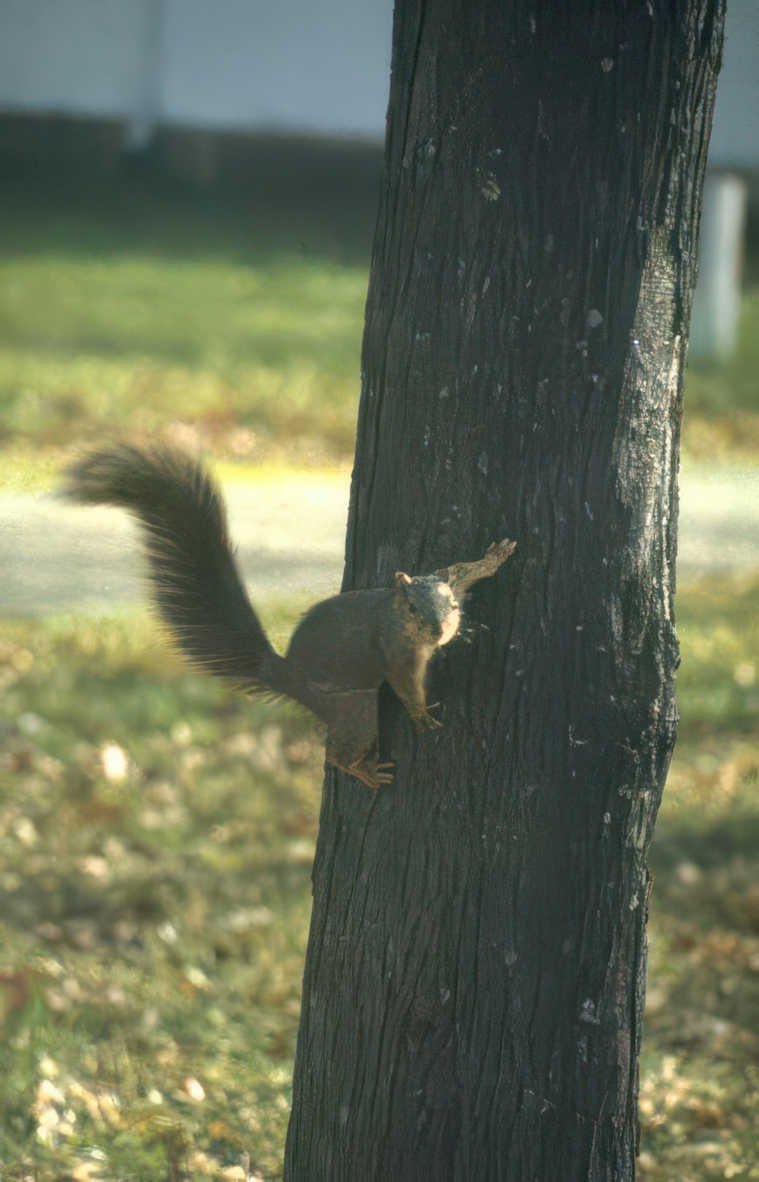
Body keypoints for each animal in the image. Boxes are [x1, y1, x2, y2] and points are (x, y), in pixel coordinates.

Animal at [63, 444, 516, 788]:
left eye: (452, 607)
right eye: (411, 608)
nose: (440, 631)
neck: (395, 615)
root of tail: (288, 678)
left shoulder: (443, 577)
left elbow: (461, 569)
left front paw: (493, 558)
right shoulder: (395, 653)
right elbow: (406, 686)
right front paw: (421, 716)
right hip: (354, 707)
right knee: (338, 751)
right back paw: (365, 772)